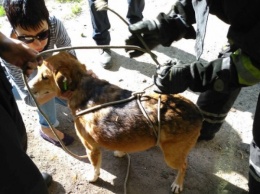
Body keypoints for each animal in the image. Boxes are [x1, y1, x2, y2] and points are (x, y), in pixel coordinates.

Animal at [29, 51, 203, 192]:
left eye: (45, 77)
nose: (28, 87)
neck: (83, 86)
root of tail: (197, 112)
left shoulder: (91, 148)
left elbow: (95, 167)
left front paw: (93, 177)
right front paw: (120, 152)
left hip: (171, 155)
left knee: (184, 166)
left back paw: (178, 184)